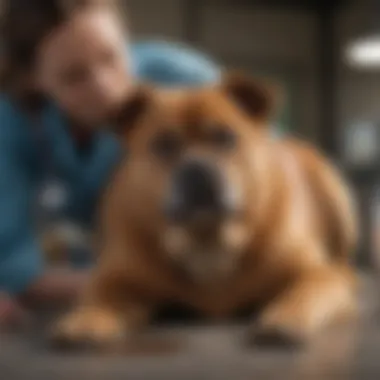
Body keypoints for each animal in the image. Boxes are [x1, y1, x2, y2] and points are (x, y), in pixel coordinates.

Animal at [52, 73, 358, 348]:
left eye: (225, 137)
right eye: (163, 144)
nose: (197, 169)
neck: (207, 242)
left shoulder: (316, 275)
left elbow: (303, 293)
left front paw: (286, 317)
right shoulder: (116, 281)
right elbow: (99, 298)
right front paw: (85, 319)